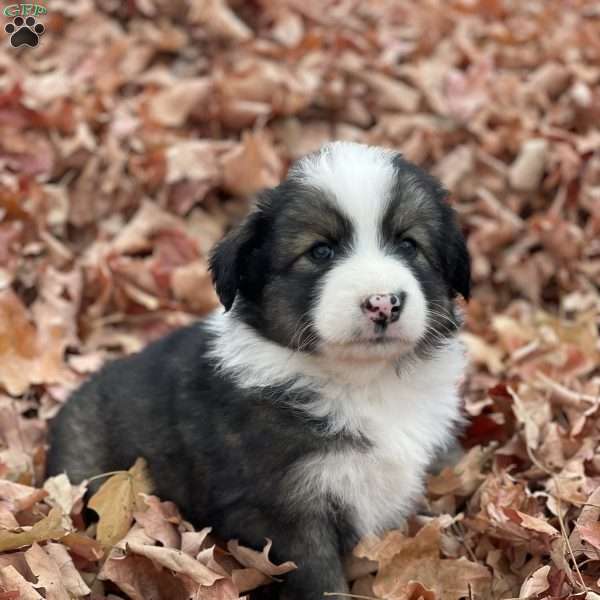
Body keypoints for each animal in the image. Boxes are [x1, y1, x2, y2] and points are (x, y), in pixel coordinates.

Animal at [47, 142, 472, 600]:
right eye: (320, 251)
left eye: (409, 245)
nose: (383, 303)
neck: (363, 381)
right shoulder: (289, 508)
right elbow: (321, 580)